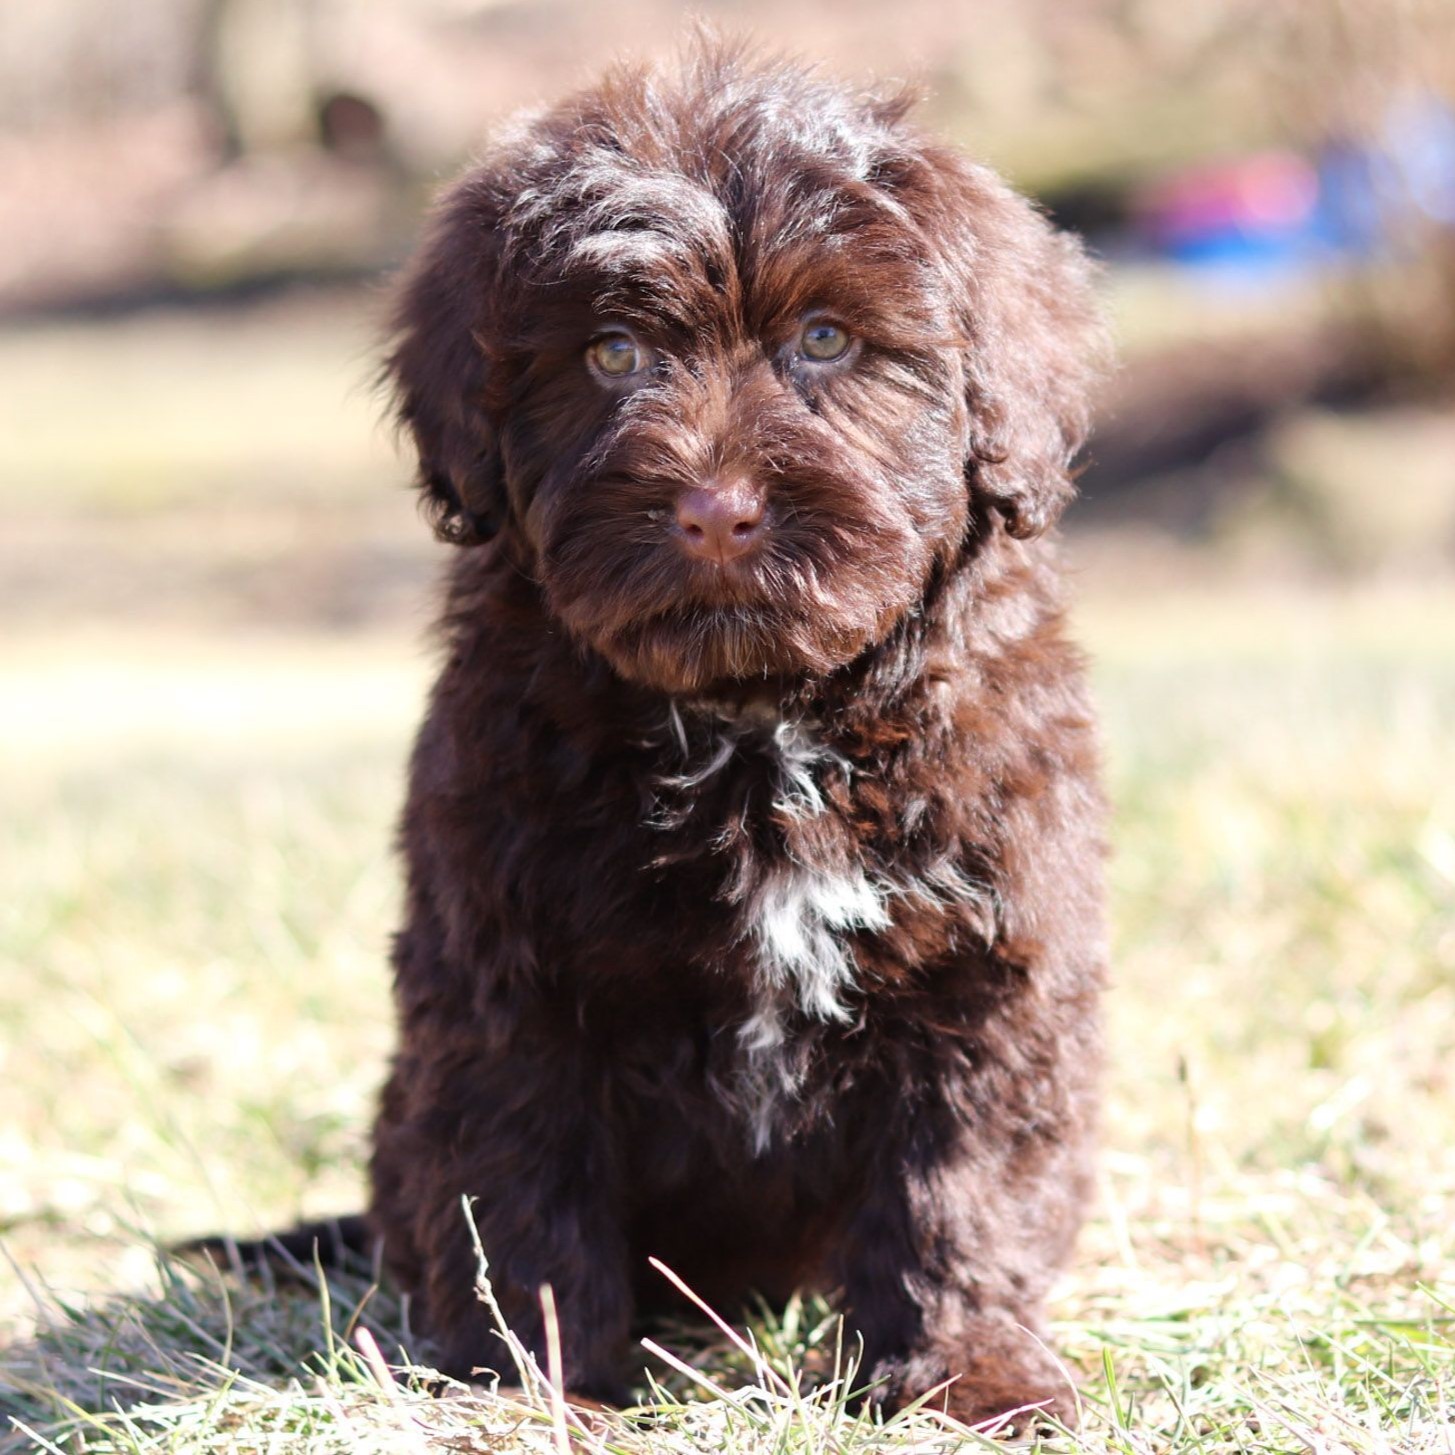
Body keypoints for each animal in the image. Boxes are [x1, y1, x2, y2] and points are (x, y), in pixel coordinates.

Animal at [369, 39, 1105, 1425]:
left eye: (825, 339)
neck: (763, 726)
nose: (713, 510)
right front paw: (532, 1381)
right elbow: (518, 1185)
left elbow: (961, 1190)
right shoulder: (506, 975)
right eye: (610, 353)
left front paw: (968, 1373)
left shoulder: (991, 969)